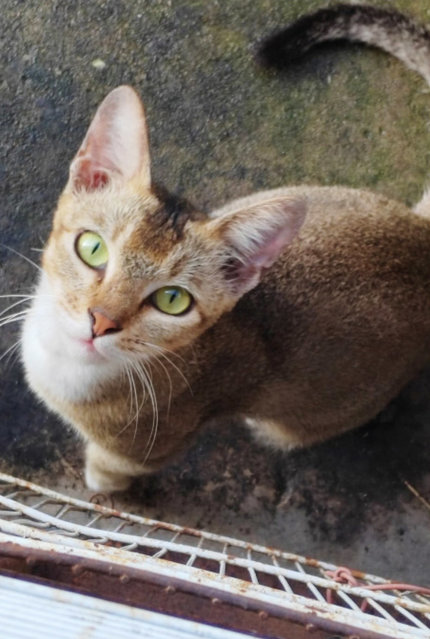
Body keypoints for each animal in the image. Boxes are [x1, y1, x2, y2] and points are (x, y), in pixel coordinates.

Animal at [21, 2, 430, 492]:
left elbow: (106, 476)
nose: (100, 321)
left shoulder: (141, 451)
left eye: (172, 300)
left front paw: (98, 490)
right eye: (93, 249)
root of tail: (422, 234)